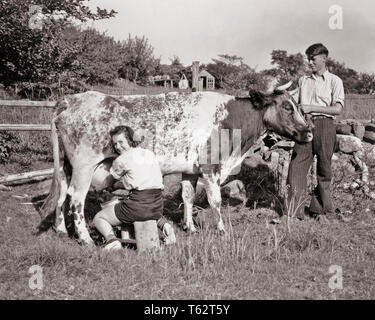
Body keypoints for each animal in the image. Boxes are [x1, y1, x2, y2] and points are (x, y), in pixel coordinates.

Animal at [39, 82, 314, 245]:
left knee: (62, 194)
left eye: (297, 106)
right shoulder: (211, 168)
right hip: (84, 166)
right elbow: (215, 200)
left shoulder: (190, 170)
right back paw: (85, 238)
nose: (309, 132)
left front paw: (189, 227)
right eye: (287, 107)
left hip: (65, 166)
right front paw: (222, 230)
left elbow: (188, 197)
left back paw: (61, 229)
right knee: (76, 198)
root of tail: (73, 99)